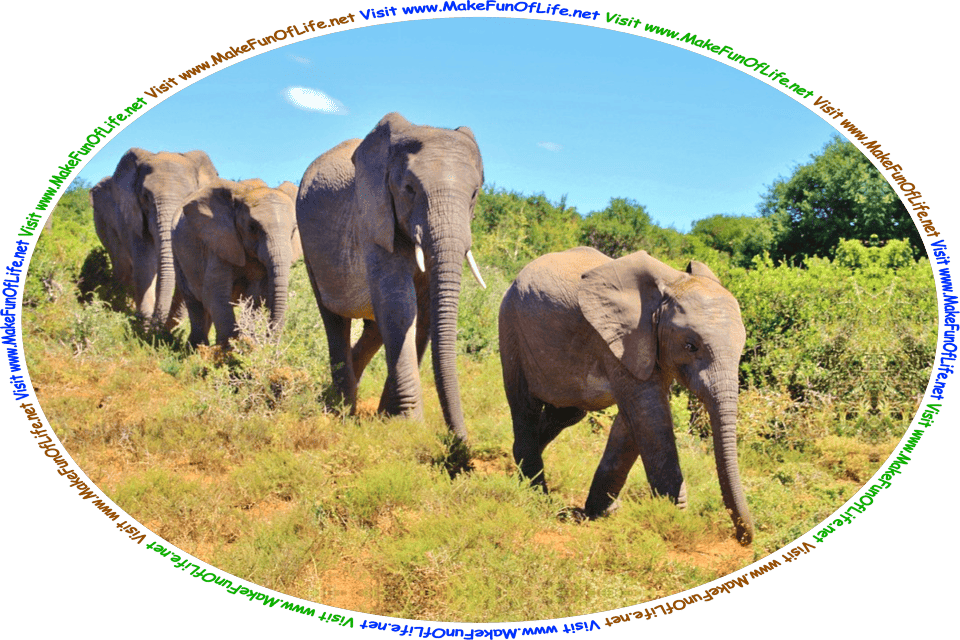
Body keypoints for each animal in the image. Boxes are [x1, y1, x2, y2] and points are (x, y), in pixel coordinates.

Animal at [91, 148, 219, 327]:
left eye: (189, 198)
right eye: (146, 197)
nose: (157, 323)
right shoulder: (134, 215)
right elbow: (145, 264)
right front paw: (144, 325)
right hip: (103, 220)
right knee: (122, 264)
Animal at [173, 178, 301, 347]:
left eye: (293, 231)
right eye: (252, 227)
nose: (270, 342)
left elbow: (256, 297)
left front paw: (250, 344)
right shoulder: (219, 241)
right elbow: (215, 293)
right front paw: (232, 349)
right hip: (177, 253)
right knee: (194, 302)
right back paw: (197, 347)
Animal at [296, 112, 485, 443]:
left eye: (474, 193)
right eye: (409, 188)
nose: (460, 441)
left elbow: (423, 313)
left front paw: (389, 418)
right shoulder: (374, 215)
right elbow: (399, 305)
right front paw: (408, 424)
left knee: (374, 327)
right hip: (310, 246)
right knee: (334, 318)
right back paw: (341, 408)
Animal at [498, 247, 753, 545]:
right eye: (690, 346)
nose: (743, 538)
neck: (671, 283)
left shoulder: (647, 345)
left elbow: (633, 423)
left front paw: (601, 513)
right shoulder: (618, 337)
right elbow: (649, 415)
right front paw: (673, 519)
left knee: (566, 413)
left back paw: (519, 468)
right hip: (511, 326)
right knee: (524, 405)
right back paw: (537, 495)